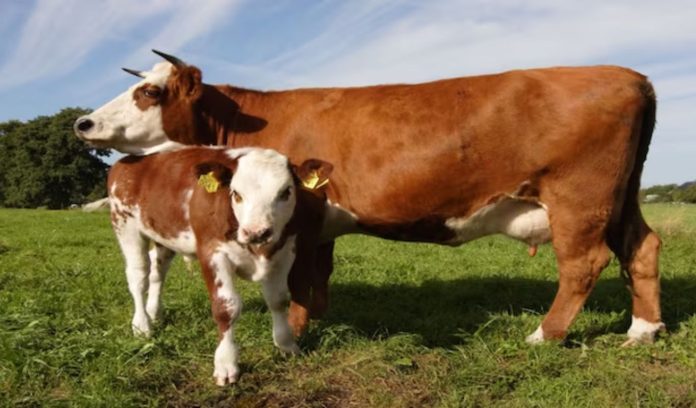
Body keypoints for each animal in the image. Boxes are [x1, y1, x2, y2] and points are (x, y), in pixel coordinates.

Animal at [76, 50, 663, 346]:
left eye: (149, 91)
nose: (83, 122)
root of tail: (628, 74)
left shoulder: (298, 218)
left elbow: (296, 281)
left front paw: (295, 332)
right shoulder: (320, 222)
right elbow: (318, 278)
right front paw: (315, 318)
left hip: (579, 200)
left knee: (583, 264)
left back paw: (544, 335)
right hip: (619, 199)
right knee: (642, 247)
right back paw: (642, 330)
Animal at [108, 146, 332, 385]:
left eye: (286, 192)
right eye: (236, 194)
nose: (257, 232)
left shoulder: (285, 251)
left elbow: (278, 300)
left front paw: (286, 344)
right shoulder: (211, 252)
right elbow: (226, 308)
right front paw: (226, 363)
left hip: (164, 236)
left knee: (158, 272)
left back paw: (154, 313)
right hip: (125, 225)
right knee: (138, 276)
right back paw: (142, 325)